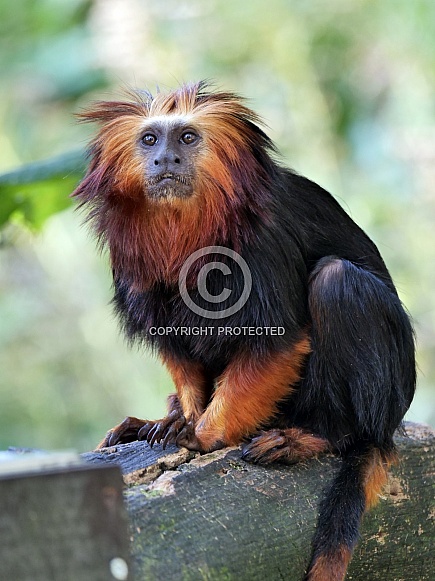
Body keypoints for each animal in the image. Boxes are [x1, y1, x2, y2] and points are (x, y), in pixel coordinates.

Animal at [71, 81, 416, 580]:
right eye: (150, 140)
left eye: (187, 138)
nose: (166, 160)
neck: (190, 227)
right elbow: (176, 346)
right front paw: (181, 416)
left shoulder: (263, 241)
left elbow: (276, 343)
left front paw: (202, 435)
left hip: (387, 392)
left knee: (336, 281)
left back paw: (320, 436)